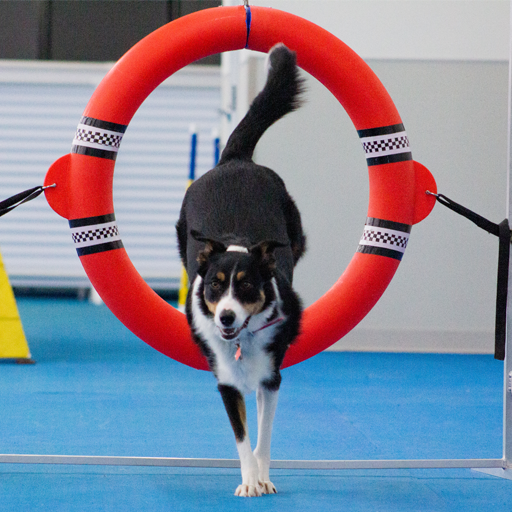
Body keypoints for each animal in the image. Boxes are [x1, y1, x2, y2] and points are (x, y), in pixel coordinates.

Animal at [175, 44, 304, 496]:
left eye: (247, 287)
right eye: (215, 286)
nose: (227, 317)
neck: (242, 340)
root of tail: (235, 159)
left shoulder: (271, 376)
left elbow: (263, 434)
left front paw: (262, 478)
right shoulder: (226, 381)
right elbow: (242, 436)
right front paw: (249, 481)